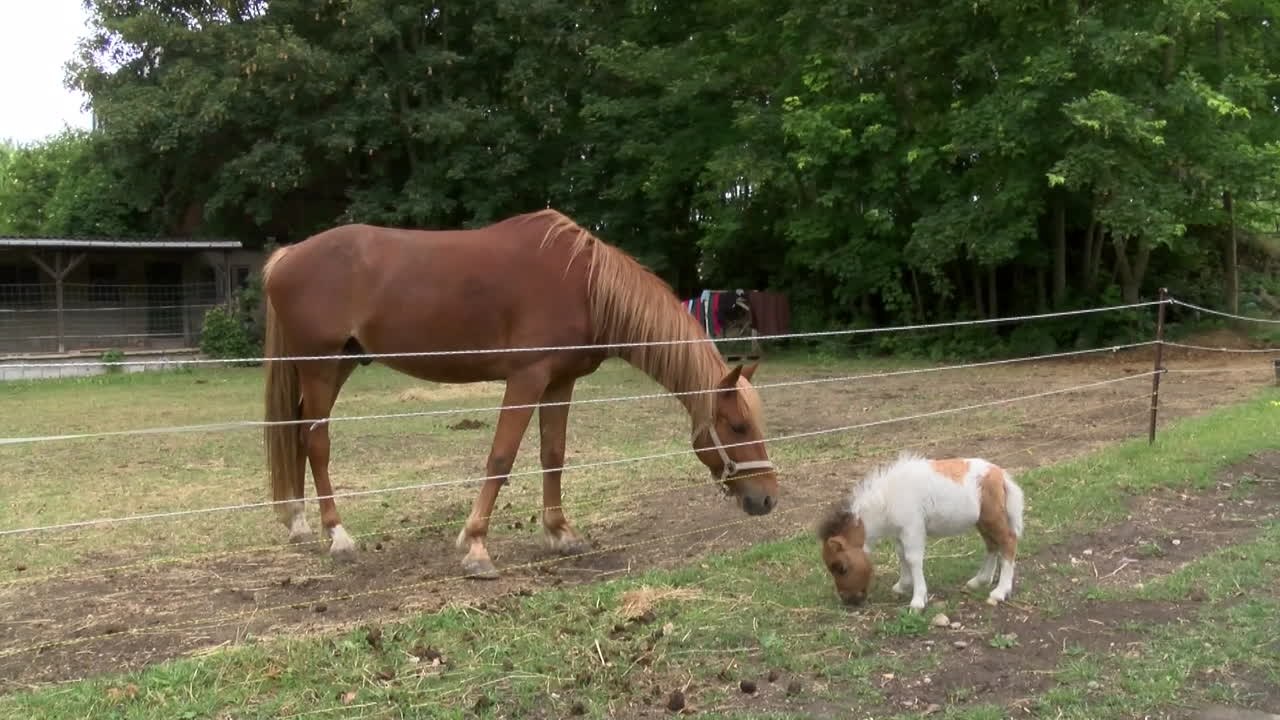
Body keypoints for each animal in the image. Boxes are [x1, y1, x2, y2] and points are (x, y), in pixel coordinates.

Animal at [260, 208, 780, 579]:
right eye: (737, 425)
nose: (768, 499)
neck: (584, 284)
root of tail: (287, 257)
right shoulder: (526, 378)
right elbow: (501, 456)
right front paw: (475, 547)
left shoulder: (559, 382)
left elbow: (553, 454)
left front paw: (561, 533)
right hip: (320, 367)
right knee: (317, 442)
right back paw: (338, 536)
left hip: (339, 366)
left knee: (298, 433)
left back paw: (298, 523)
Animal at [817, 452, 1024, 610]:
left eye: (841, 567)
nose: (848, 600)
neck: (888, 499)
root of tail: (1000, 474)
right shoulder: (900, 532)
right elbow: (901, 555)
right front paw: (902, 586)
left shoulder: (912, 527)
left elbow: (913, 559)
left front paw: (918, 600)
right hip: (982, 521)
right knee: (992, 545)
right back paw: (979, 581)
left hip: (992, 517)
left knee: (1008, 542)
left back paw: (999, 592)